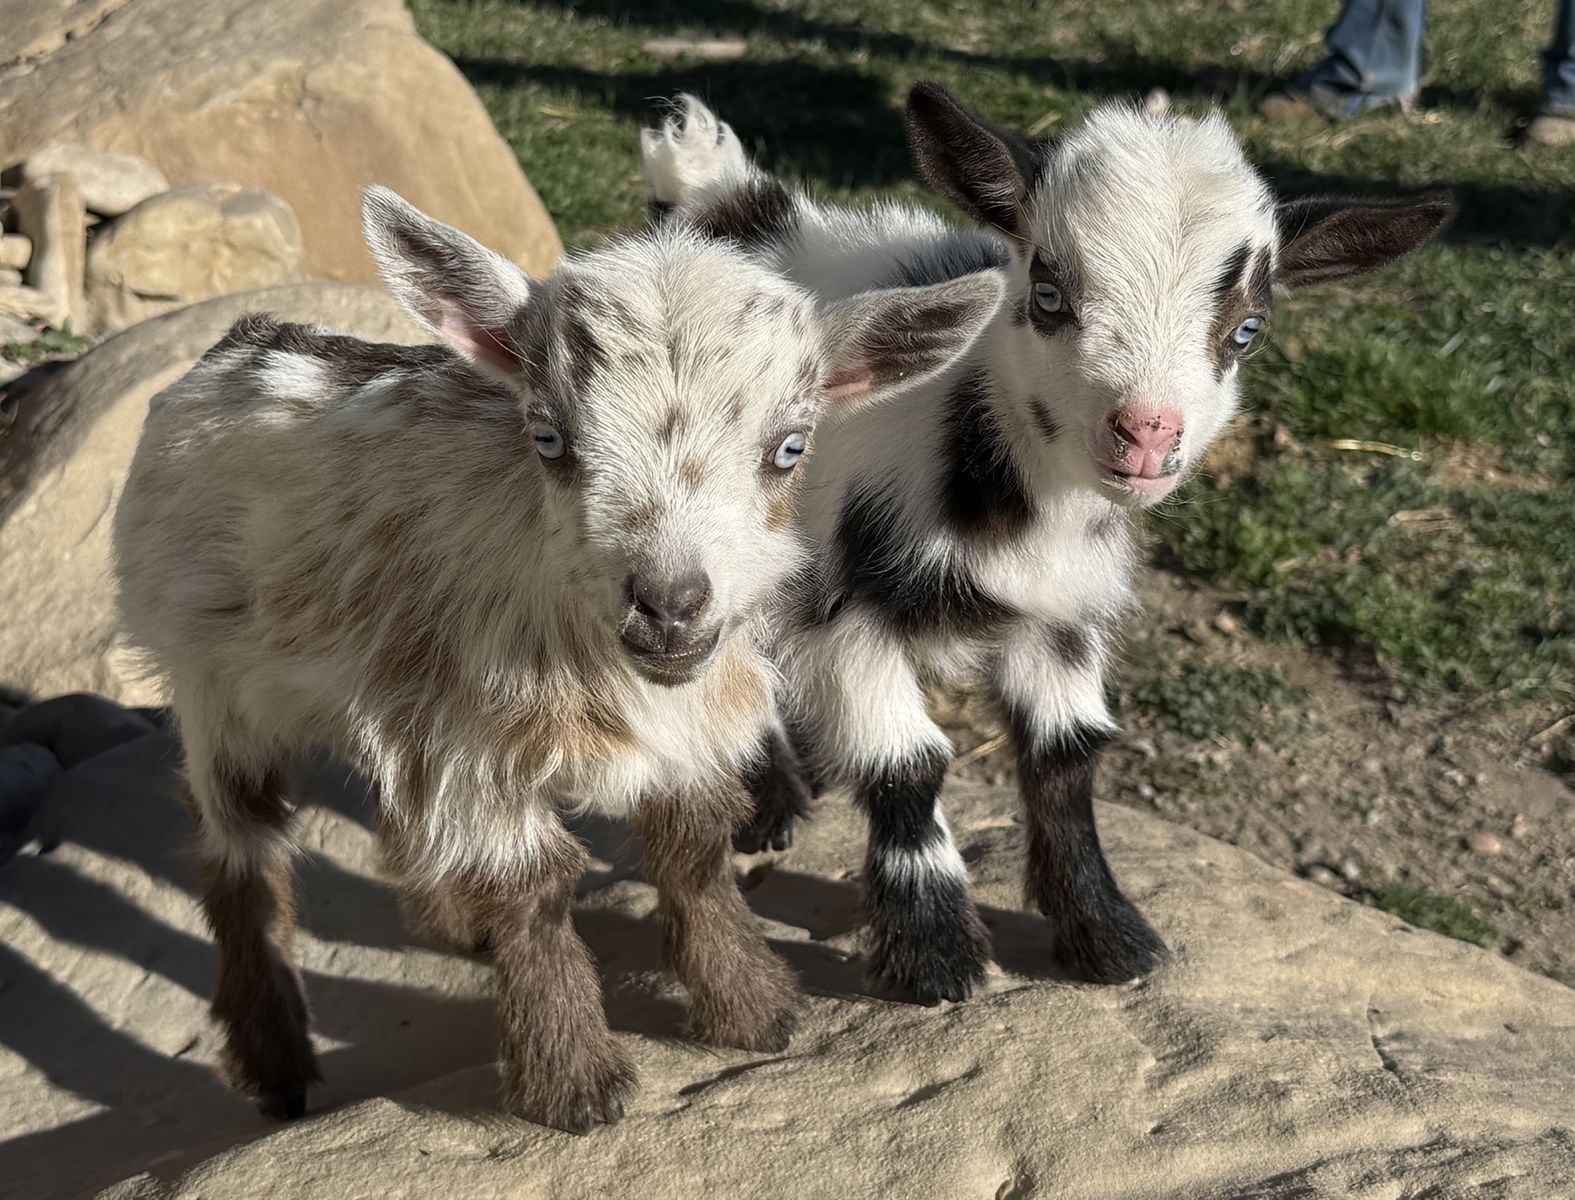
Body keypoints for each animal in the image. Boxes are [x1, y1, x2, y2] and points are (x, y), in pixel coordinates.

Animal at [111, 187, 1003, 1128]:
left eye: (790, 447)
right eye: (548, 438)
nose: (669, 606)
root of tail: (240, 340)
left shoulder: (684, 726)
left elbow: (693, 855)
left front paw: (754, 1014)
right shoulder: (474, 744)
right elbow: (534, 891)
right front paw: (575, 1086)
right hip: (210, 681)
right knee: (239, 853)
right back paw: (276, 1066)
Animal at [641, 85, 1452, 1004]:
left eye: (1248, 329)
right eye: (1050, 294)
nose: (1145, 433)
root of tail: (721, 198)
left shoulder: (1061, 616)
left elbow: (1066, 758)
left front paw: (1108, 936)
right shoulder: (843, 610)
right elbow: (908, 764)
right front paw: (935, 956)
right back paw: (767, 807)